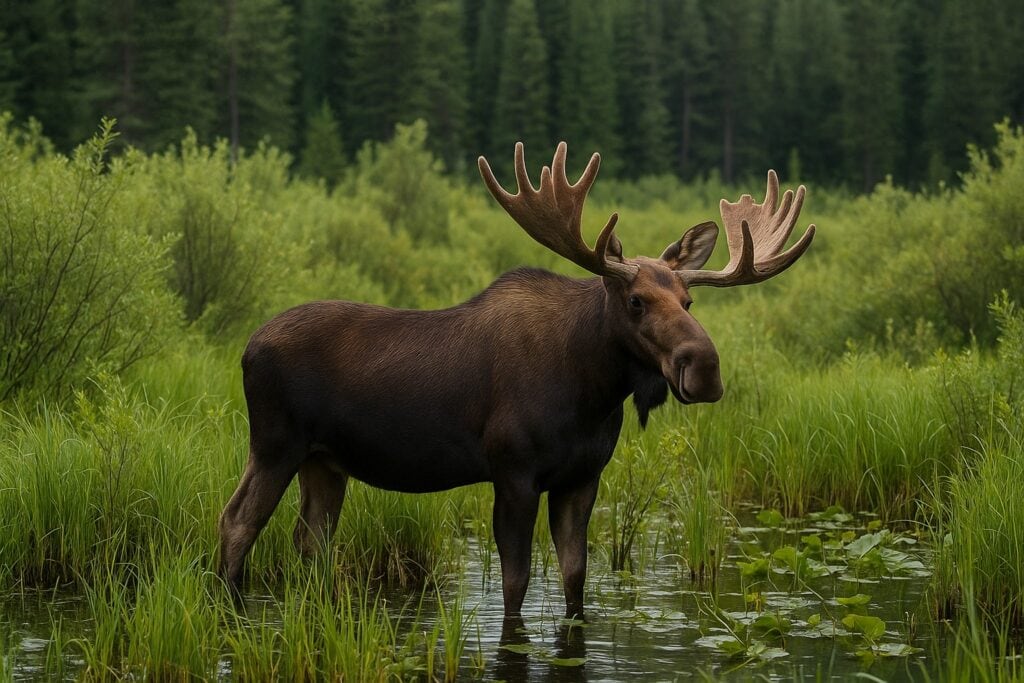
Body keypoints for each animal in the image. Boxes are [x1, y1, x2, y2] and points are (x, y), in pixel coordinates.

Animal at [217, 142, 815, 618]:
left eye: (689, 300)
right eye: (636, 300)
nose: (704, 367)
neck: (592, 392)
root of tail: (247, 348)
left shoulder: (582, 477)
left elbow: (574, 579)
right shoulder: (513, 473)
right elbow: (515, 585)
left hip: (325, 461)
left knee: (309, 538)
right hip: (275, 444)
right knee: (237, 521)